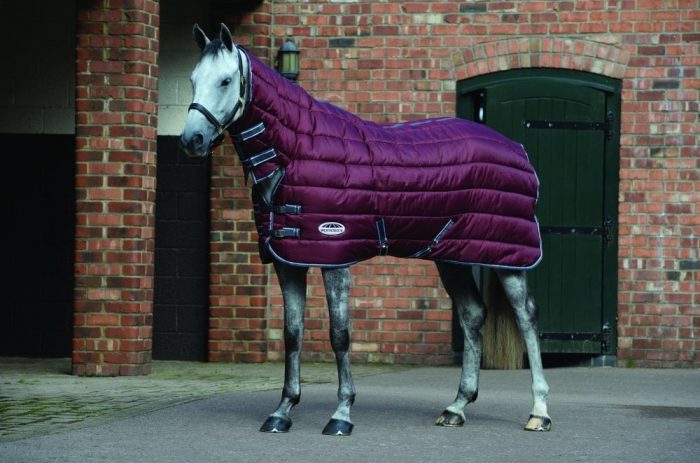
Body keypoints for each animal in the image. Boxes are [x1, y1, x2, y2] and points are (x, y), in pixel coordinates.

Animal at [179, 23, 552, 436]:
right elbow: (293, 334)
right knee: (472, 315)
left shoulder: (335, 256)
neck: (295, 150)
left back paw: (539, 412)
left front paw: (341, 415)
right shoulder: (288, 261)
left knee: (527, 317)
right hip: (452, 256)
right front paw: (282, 412)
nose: (191, 140)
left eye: (226, 80)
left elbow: (339, 334)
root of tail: (519, 150)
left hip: (509, 258)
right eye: (192, 79)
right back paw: (456, 407)